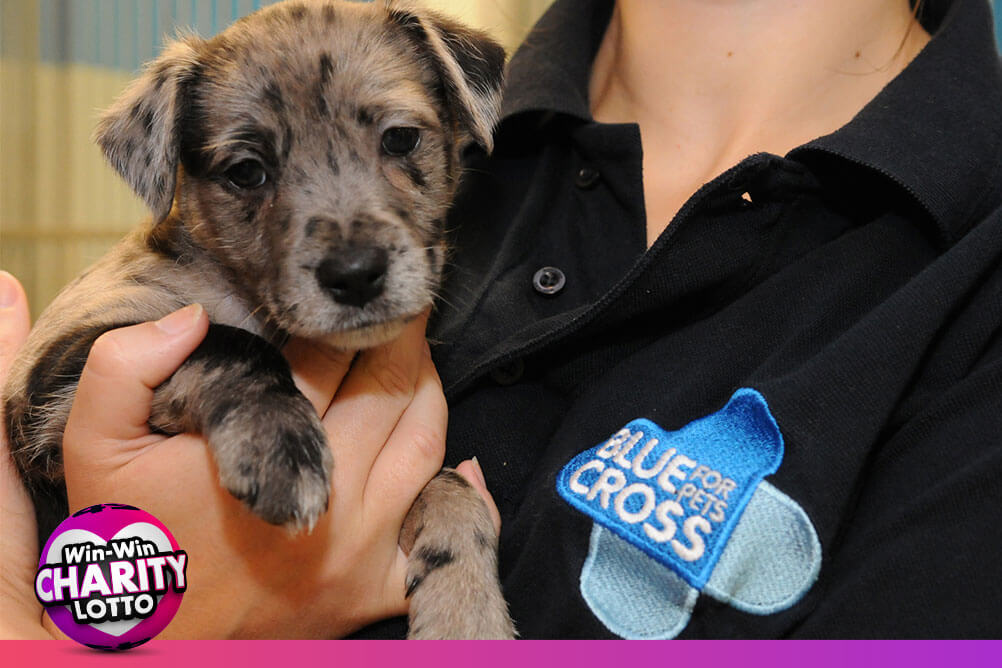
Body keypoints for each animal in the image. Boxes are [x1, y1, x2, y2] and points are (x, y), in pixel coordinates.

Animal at [0, 0, 513, 640]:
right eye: (246, 172)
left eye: (400, 139)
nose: (355, 275)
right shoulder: (53, 383)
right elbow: (229, 344)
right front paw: (280, 446)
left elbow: (451, 487)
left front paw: (466, 611)